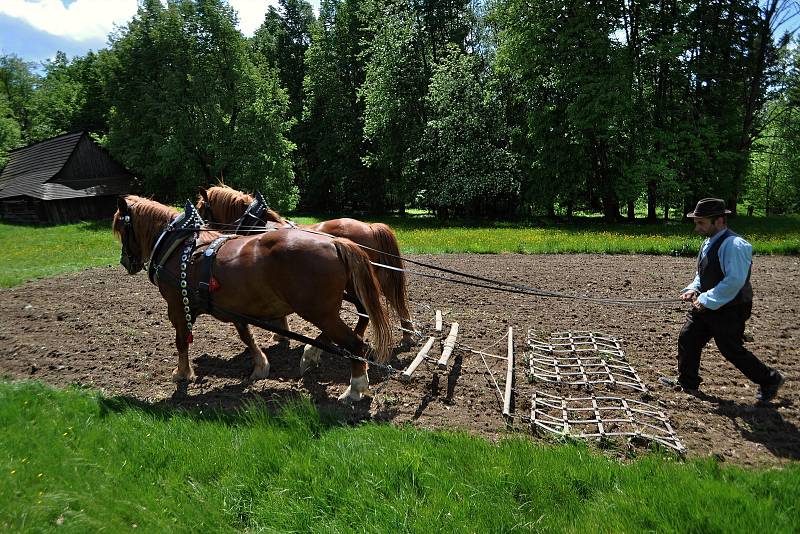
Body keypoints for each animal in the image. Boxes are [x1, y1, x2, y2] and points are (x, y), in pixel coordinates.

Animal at [111, 197, 392, 402]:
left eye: (123, 229)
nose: (125, 262)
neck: (183, 247)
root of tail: (337, 243)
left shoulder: (177, 307)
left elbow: (181, 341)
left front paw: (182, 373)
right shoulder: (232, 305)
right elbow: (246, 335)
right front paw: (260, 366)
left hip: (320, 311)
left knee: (354, 342)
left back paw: (354, 388)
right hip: (339, 301)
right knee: (360, 319)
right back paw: (316, 356)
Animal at [197, 186, 416, 350]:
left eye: (200, 209)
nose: (200, 230)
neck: (257, 225)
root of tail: (369, 226)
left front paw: (280, 334)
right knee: (391, 300)